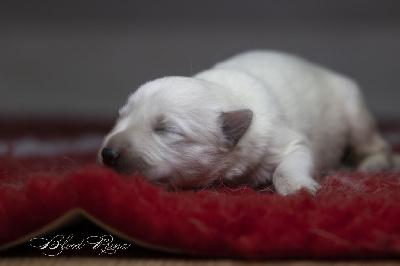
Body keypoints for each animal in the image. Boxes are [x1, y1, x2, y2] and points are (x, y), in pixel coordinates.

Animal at [99, 50, 394, 195]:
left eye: (166, 130)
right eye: (121, 117)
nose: (107, 154)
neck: (225, 94)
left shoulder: (287, 139)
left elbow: (290, 163)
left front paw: (298, 188)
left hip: (354, 110)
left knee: (375, 144)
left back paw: (374, 164)